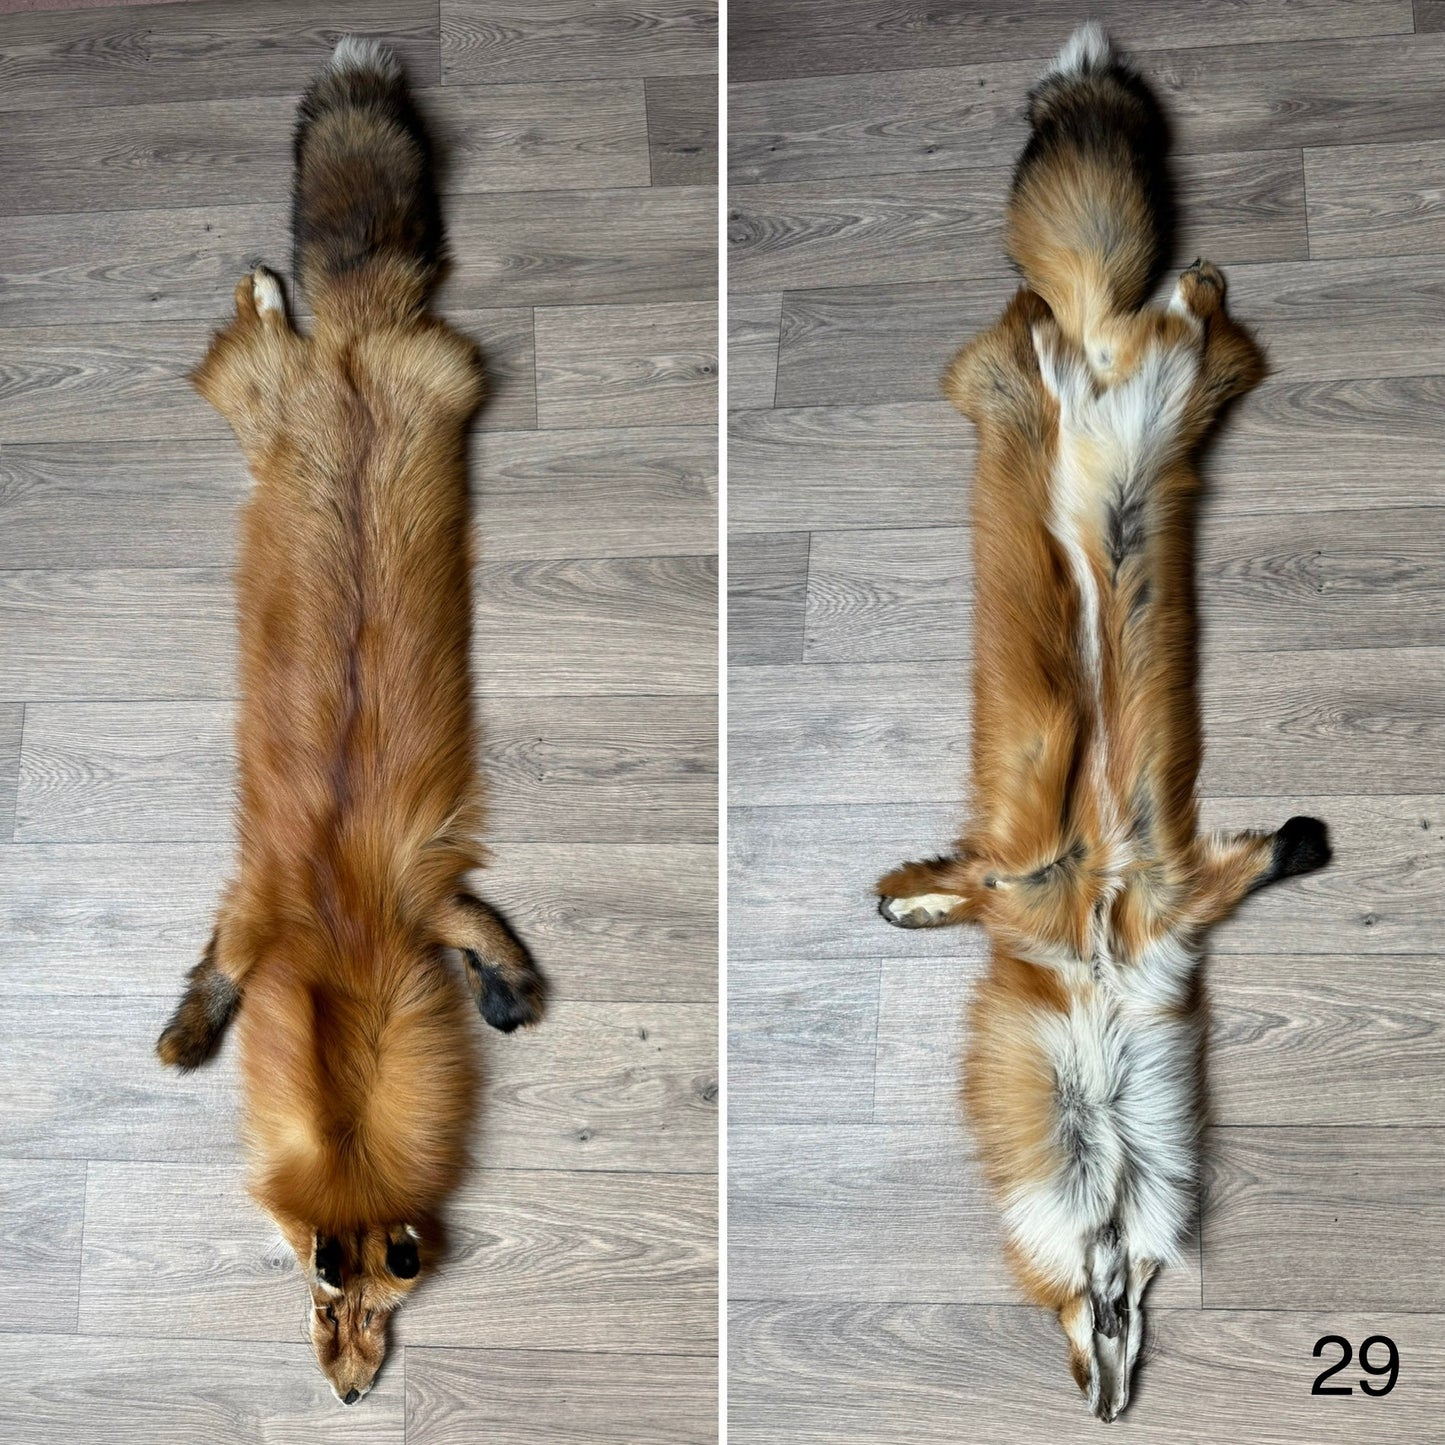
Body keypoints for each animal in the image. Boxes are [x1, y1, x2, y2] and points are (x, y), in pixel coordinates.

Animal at [155, 36, 547, 1404]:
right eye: (320, 1295)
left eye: (383, 1305)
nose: (349, 1392)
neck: (338, 949)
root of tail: (355, 359)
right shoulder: (269, 906)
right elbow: (216, 967)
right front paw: (185, 1036)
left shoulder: (417, 892)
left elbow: (488, 935)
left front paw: (506, 994)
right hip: (262, 398)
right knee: (255, 330)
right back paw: (267, 282)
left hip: (417, 382)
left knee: (281, 326)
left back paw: (280, 288)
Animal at [876, 23, 1330, 1422]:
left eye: (1110, 1324)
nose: (1103, 1403)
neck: (1098, 979)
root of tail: (1090, 358)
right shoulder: (1035, 892)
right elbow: (951, 890)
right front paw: (899, 903)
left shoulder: (1172, 900)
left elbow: (1264, 854)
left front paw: (1307, 840)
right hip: (1029, 390)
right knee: (1063, 325)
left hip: (1186, 389)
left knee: (1170, 317)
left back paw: (1159, 283)